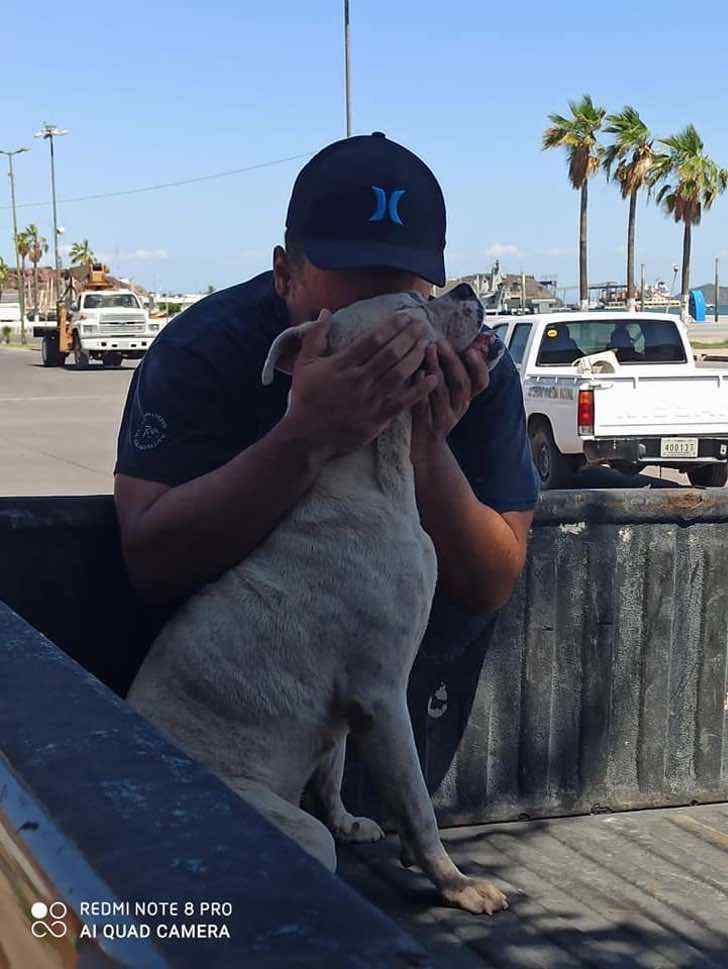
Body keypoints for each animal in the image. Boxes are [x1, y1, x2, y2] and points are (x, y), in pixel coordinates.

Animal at [126, 286, 512, 916]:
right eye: (411, 305)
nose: (465, 290)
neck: (374, 477)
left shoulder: (346, 706)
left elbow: (332, 768)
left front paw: (350, 821)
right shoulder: (383, 694)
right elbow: (416, 802)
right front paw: (454, 883)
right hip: (288, 830)